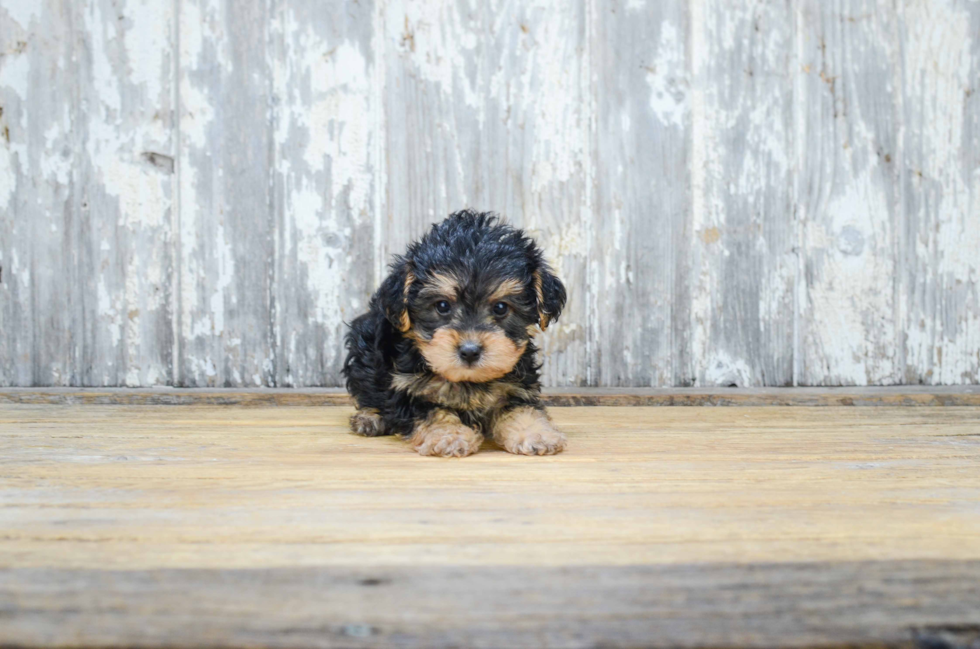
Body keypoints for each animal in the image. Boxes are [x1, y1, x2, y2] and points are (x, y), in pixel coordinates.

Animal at [340, 210, 568, 458]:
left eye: (500, 308)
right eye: (442, 306)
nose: (469, 351)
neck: (469, 381)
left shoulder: (517, 386)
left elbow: (521, 408)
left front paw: (535, 433)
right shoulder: (407, 388)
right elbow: (433, 412)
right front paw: (449, 436)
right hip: (365, 349)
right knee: (368, 388)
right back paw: (370, 417)